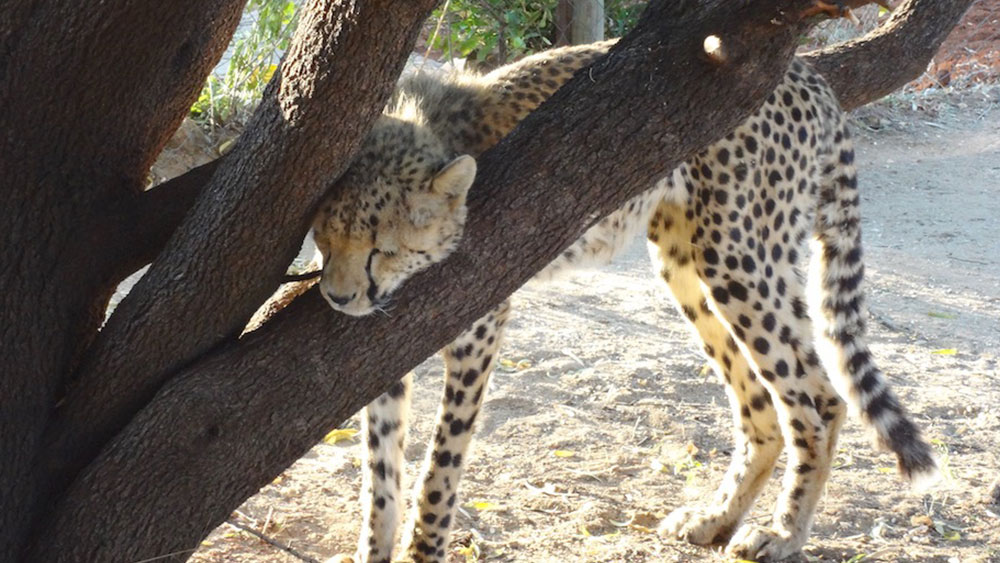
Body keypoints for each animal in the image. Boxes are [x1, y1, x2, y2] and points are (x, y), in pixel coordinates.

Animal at [308, 40, 932, 563]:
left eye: (381, 249)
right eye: (323, 238)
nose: (338, 298)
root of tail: (807, 70)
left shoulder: (480, 325)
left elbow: (441, 466)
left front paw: (422, 549)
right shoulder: (384, 354)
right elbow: (380, 472)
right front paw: (373, 550)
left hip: (739, 256)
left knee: (819, 398)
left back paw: (782, 534)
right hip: (683, 262)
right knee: (760, 405)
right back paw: (715, 518)